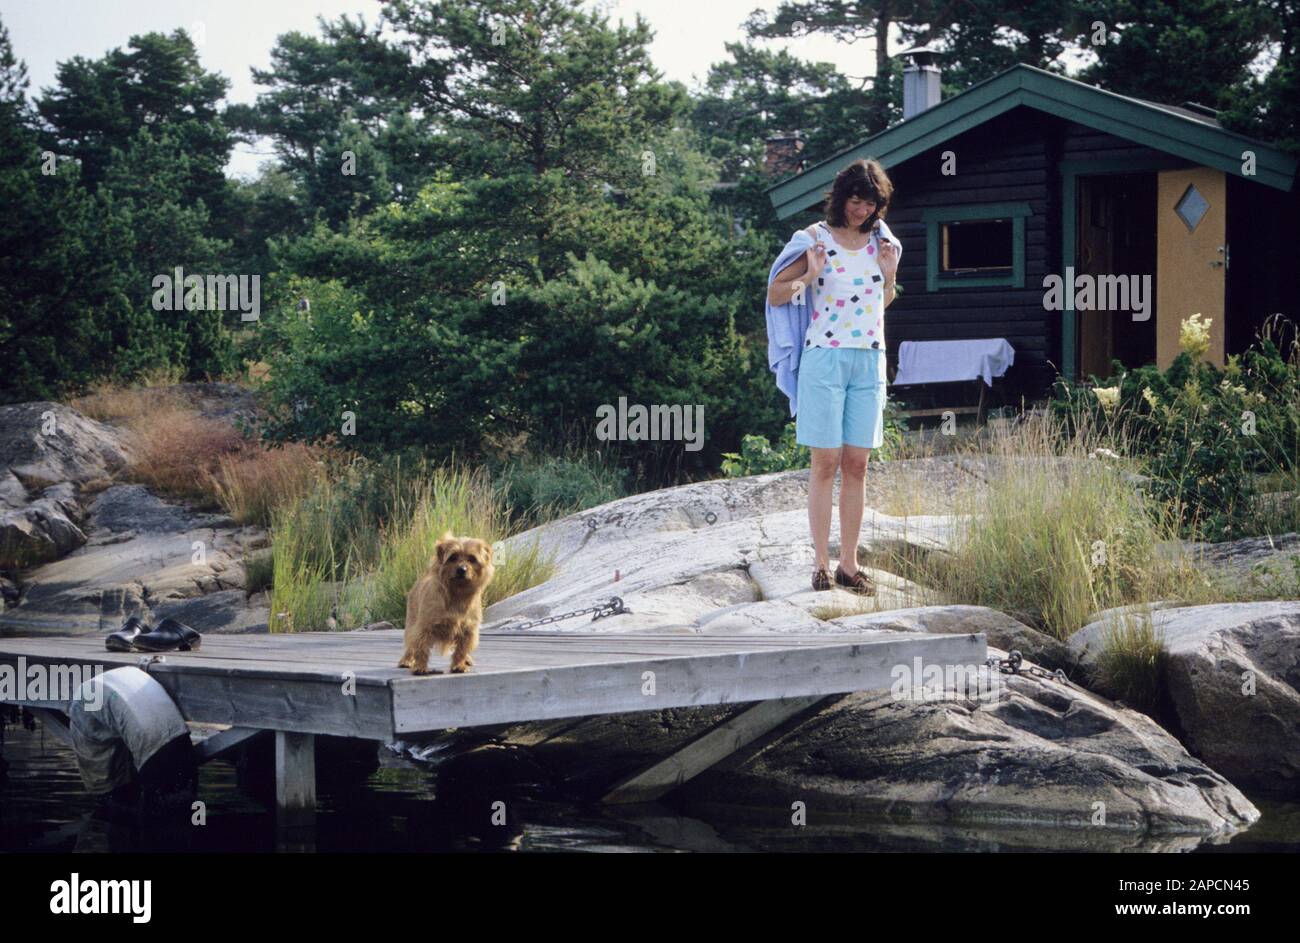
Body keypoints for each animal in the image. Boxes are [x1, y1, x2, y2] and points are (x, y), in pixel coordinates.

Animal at [395, 530, 491, 676]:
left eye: (472, 559)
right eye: (453, 557)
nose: (461, 569)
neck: (457, 594)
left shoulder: (468, 630)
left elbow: (461, 650)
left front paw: (459, 665)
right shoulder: (424, 627)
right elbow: (421, 648)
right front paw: (420, 667)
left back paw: (467, 660)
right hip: (411, 622)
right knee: (410, 644)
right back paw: (406, 660)